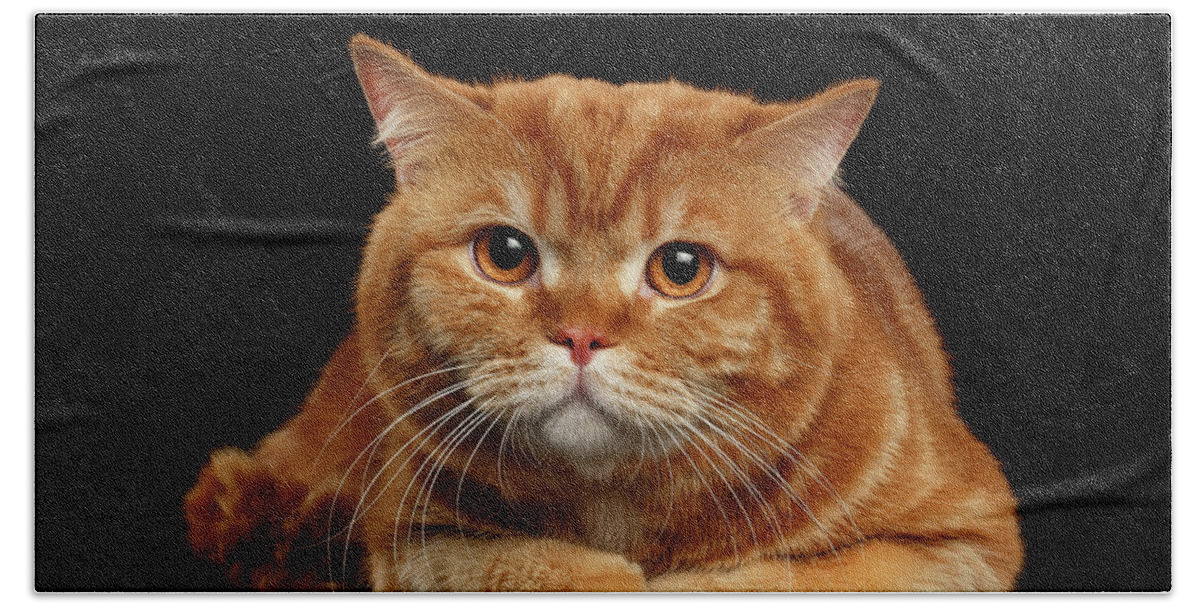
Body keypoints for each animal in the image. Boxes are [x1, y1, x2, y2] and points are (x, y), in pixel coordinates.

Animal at [184, 33, 1022, 590]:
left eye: (681, 268)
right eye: (505, 254)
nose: (581, 335)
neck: (615, 503)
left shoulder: (967, 539)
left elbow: (776, 576)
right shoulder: (414, 537)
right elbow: (532, 564)